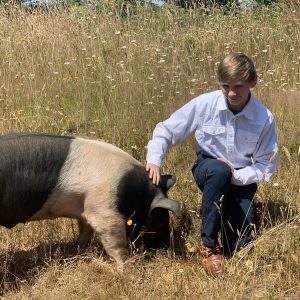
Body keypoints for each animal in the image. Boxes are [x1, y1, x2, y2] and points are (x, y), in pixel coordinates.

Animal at [0, 134, 180, 270]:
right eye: (160, 222)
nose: (166, 248)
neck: (135, 193)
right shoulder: (104, 209)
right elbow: (115, 242)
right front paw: (127, 269)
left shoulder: (86, 207)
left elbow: (84, 234)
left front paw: (78, 254)